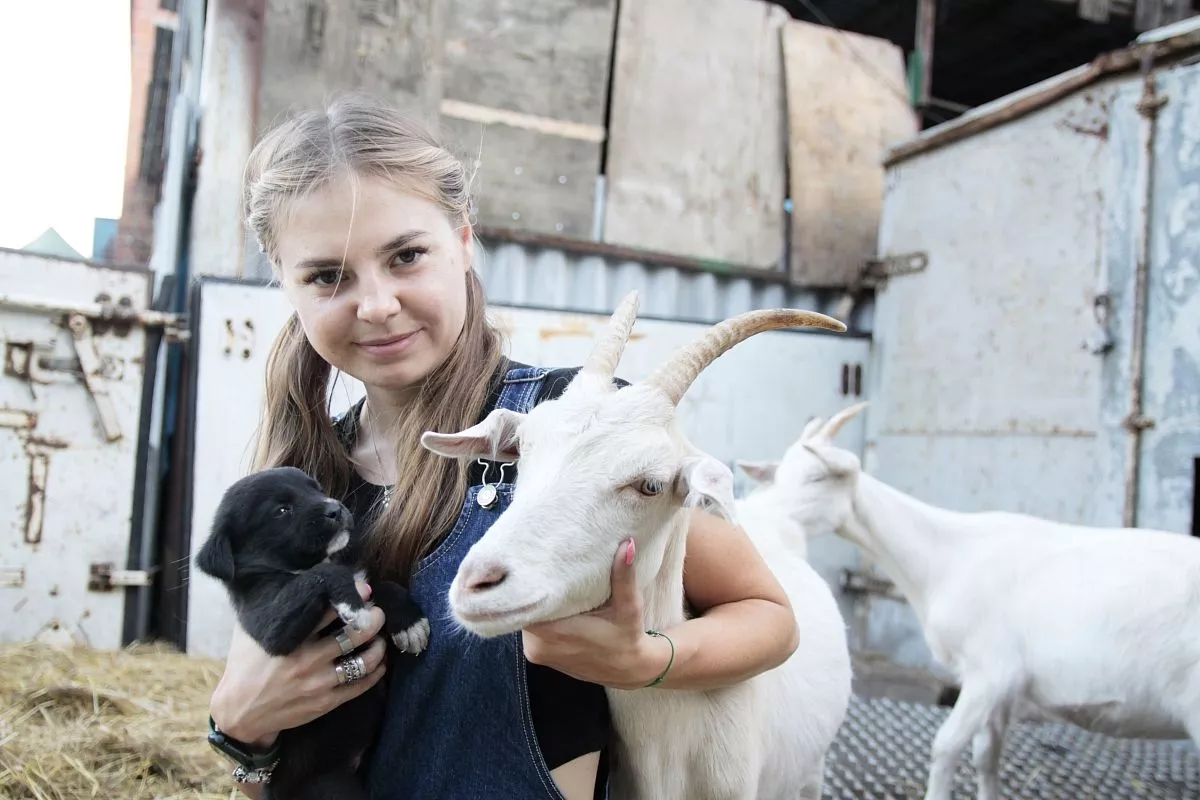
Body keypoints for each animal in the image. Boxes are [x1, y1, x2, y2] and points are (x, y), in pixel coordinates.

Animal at [193, 465, 427, 796]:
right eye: (281, 510)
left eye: (315, 488)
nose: (336, 508)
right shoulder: (269, 626)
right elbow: (323, 573)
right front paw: (352, 605)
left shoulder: (365, 583)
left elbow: (382, 586)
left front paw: (409, 622)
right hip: (331, 785)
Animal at [739, 402, 1200, 800]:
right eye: (779, 475)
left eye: (819, 478)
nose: (760, 511)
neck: (947, 556)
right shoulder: (1002, 688)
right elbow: (985, 756)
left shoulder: (992, 669)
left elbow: (944, 746)